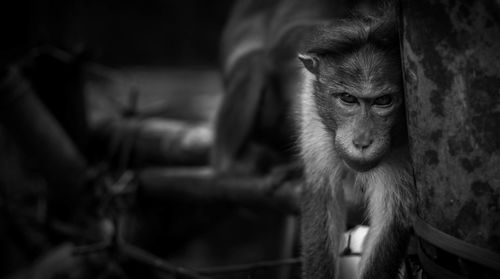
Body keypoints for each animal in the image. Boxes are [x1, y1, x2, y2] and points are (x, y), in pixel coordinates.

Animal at [294, 6, 416, 279]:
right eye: (348, 98)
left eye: (383, 101)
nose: (362, 141)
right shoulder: (313, 116)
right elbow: (323, 192)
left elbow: (392, 219)